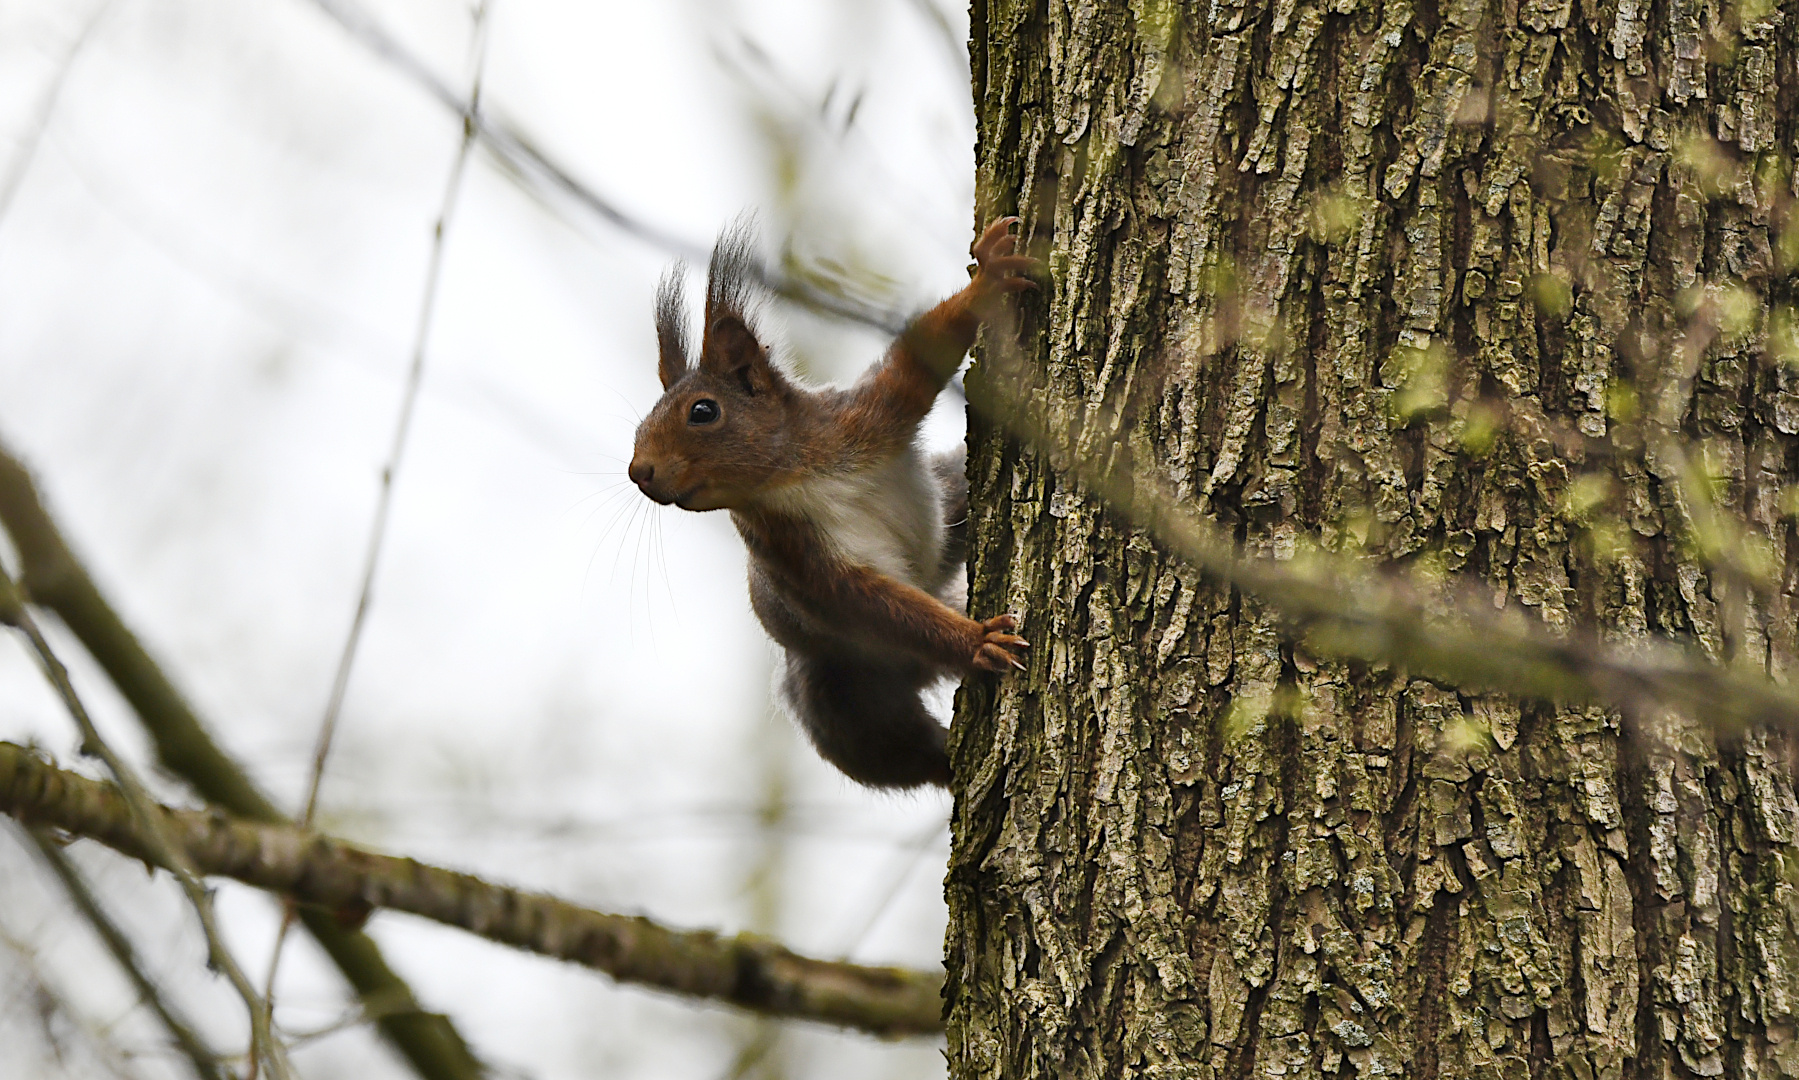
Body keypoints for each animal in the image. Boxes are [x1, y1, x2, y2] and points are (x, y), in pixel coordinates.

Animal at [629, 219, 1036, 788]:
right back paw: (950, 764)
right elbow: (869, 603)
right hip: (840, 696)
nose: (637, 472)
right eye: (641, 424)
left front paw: (989, 279)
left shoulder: (864, 417)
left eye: (703, 412)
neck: (792, 476)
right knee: (892, 749)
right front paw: (978, 643)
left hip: (949, 494)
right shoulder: (792, 552)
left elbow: (918, 358)